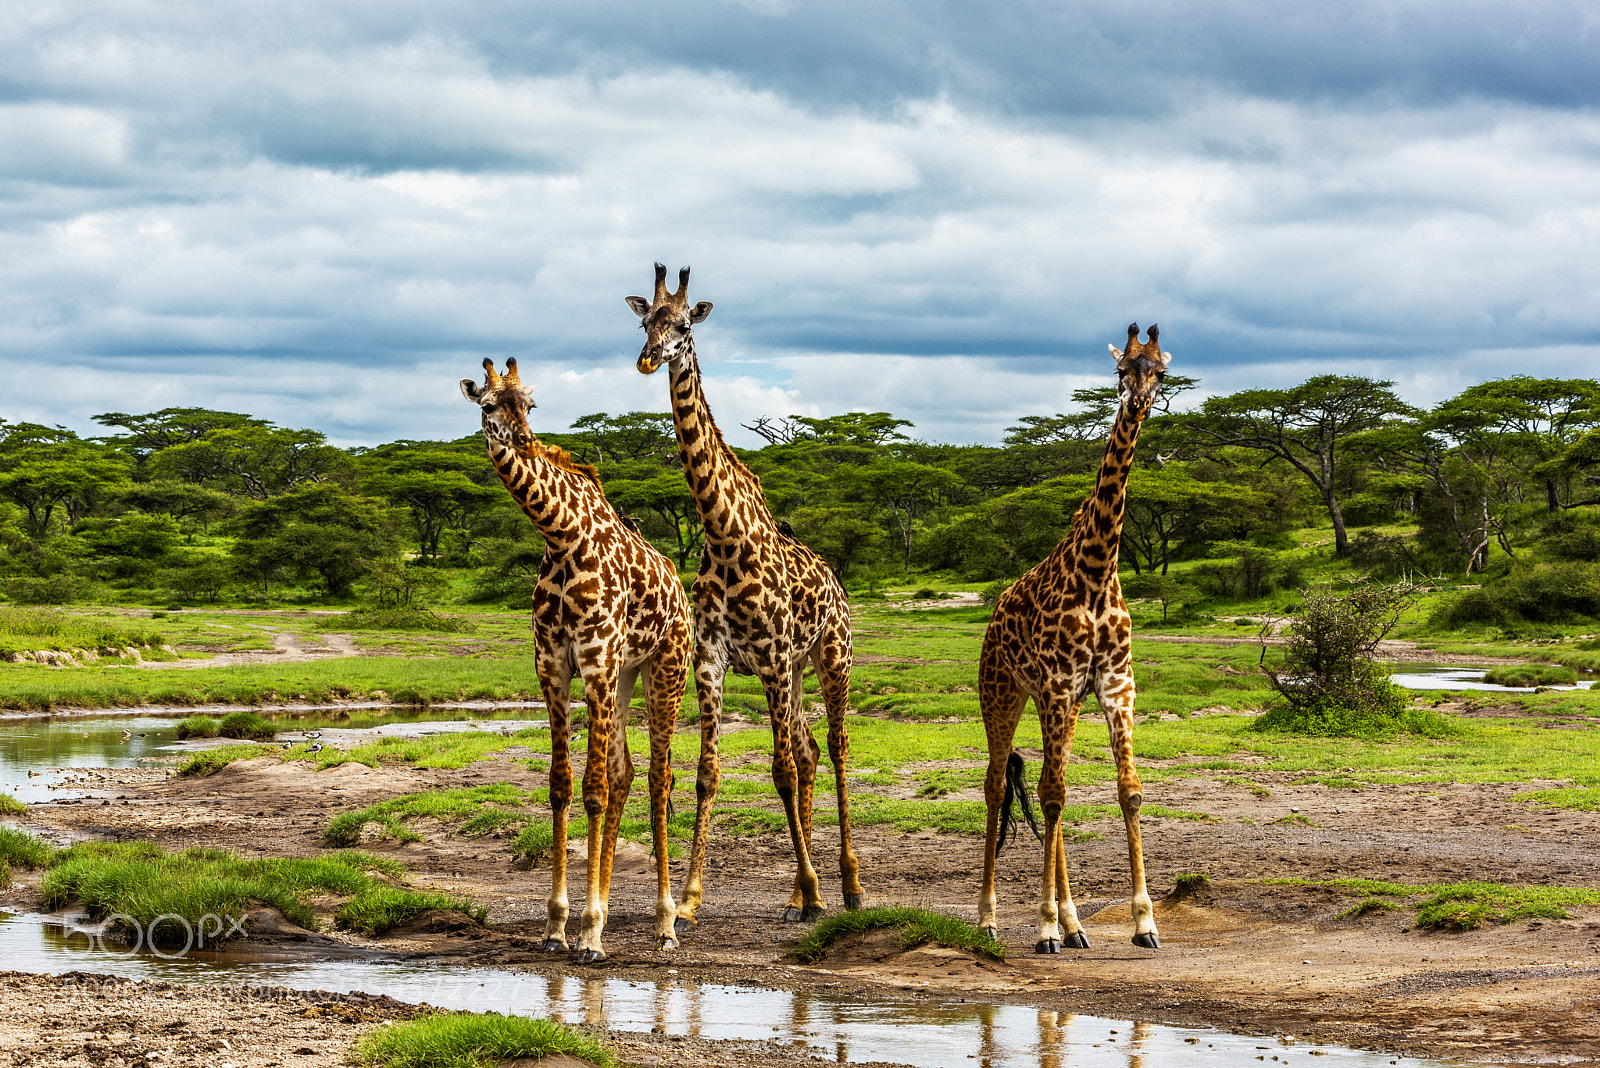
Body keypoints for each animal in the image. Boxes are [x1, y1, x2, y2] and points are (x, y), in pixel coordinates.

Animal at [460, 357, 692, 961]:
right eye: (488, 405)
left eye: (530, 405)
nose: (521, 439)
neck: (561, 539)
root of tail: (680, 586)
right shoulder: (555, 666)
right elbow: (564, 785)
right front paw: (558, 926)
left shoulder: (594, 661)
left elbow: (593, 788)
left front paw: (590, 932)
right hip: (626, 673)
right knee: (626, 771)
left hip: (666, 667)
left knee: (658, 776)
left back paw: (665, 922)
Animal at [627, 263, 864, 927]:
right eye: (643, 323)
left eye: (683, 325)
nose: (648, 360)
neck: (722, 534)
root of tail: (838, 584)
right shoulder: (713, 660)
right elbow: (708, 773)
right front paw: (688, 900)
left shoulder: (776, 656)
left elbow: (779, 770)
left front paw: (816, 889)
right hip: (796, 672)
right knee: (809, 750)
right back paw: (795, 897)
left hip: (828, 659)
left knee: (834, 748)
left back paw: (847, 887)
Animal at [977, 323, 1171, 953]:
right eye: (1119, 371)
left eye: (1160, 371)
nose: (1136, 401)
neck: (1097, 570)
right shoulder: (1062, 685)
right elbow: (1053, 794)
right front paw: (1042, 927)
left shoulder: (1113, 686)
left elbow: (1128, 791)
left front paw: (1144, 924)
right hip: (1005, 693)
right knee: (999, 785)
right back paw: (990, 919)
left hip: (1053, 701)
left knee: (1042, 782)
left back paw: (1076, 924)